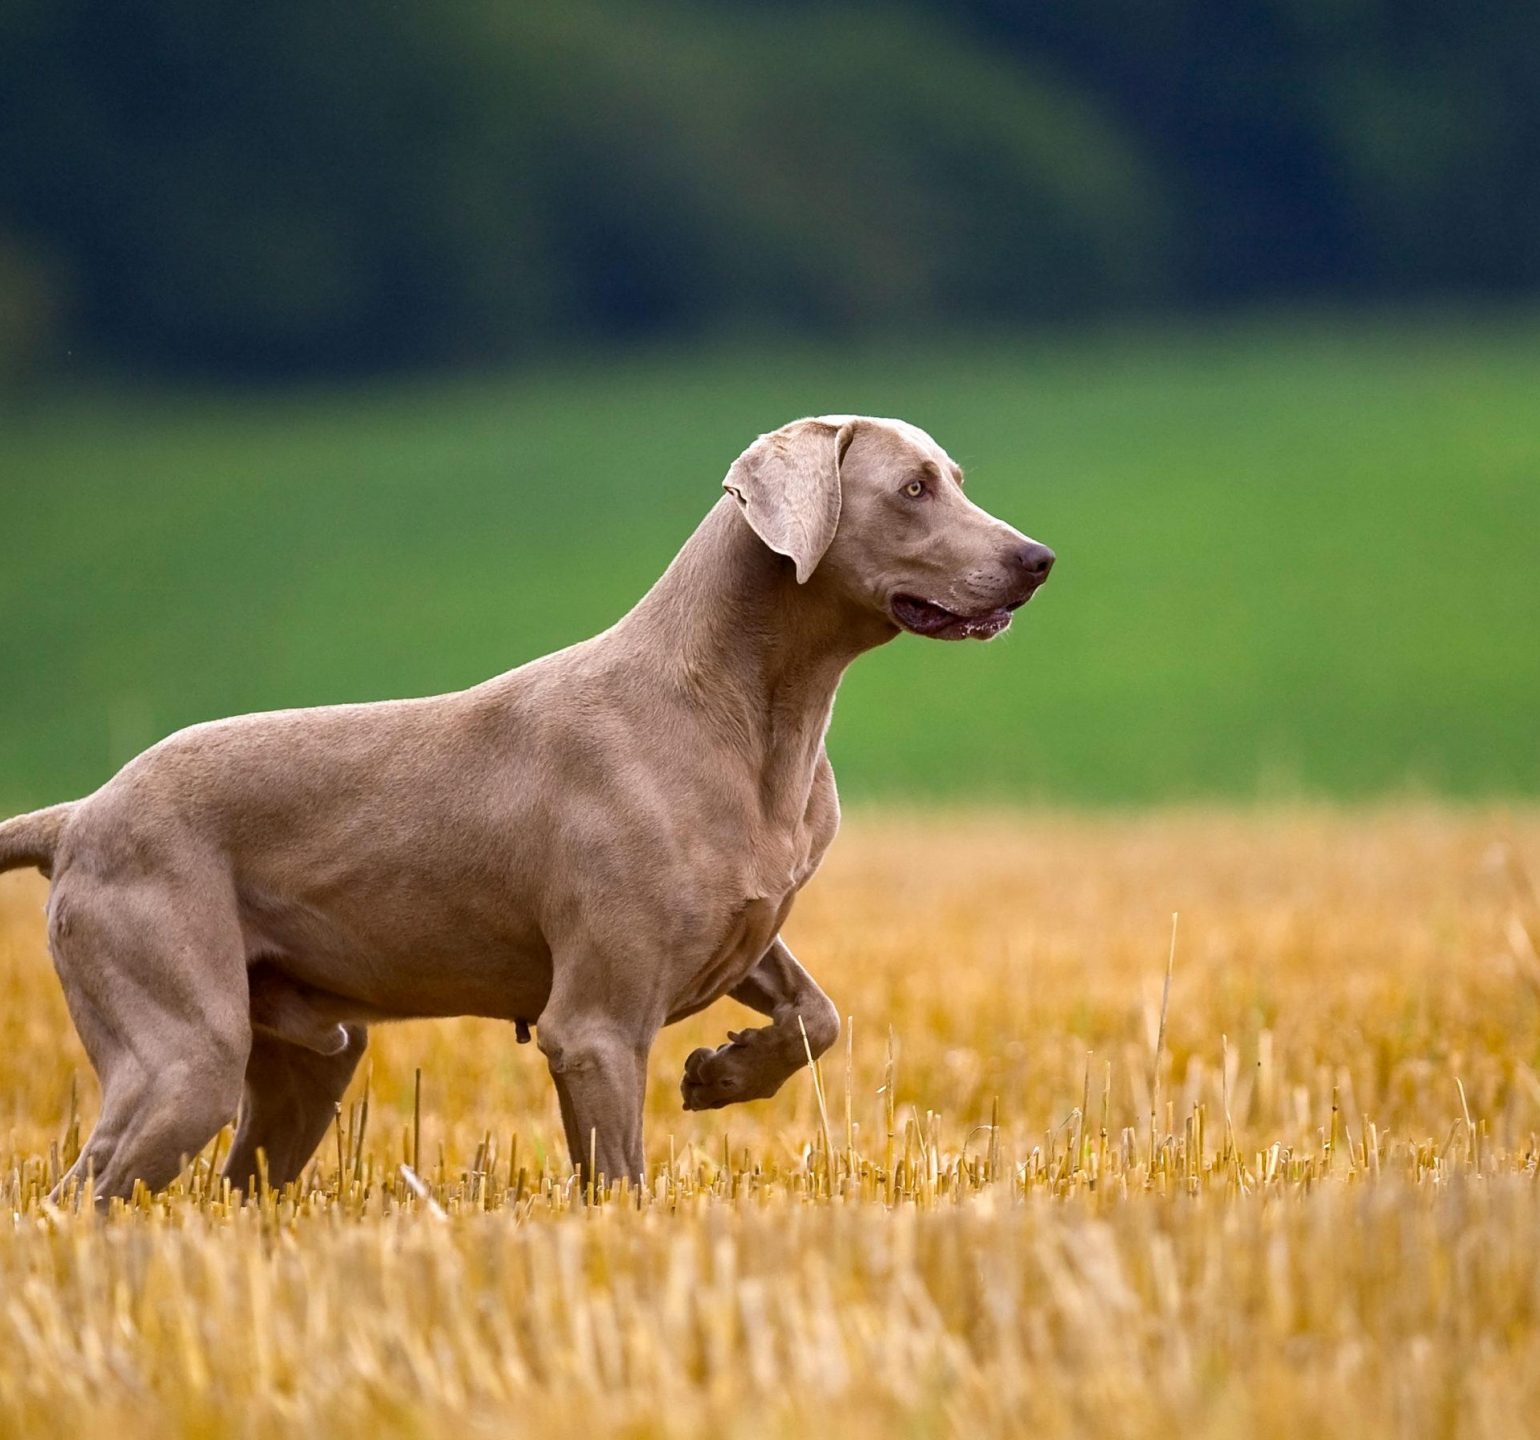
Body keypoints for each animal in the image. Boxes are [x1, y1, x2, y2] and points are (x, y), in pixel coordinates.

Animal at [0, 412, 1047, 1195]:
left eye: (953, 478)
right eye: (912, 490)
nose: (1038, 559)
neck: (745, 711)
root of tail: (78, 813)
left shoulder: (742, 933)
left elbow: (818, 1017)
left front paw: (722, 1073)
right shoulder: (594, 1026)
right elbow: (619, 1177)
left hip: (307, 1058)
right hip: (184, 1055)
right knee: (80, 1194)